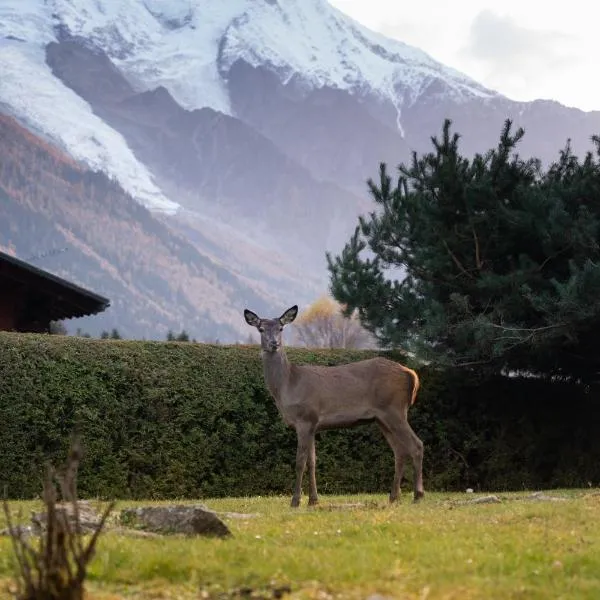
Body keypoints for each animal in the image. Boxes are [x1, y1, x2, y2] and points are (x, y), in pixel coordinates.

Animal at [241, 304, 424, 506]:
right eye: (261, 329)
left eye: (281, 328)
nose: (274, 343)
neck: (288, 385)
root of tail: (411, 373)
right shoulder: (313, 424)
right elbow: (312, 462)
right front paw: (313, 500)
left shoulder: (305, 418)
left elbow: (300, 462)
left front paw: (295, 501)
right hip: (382, 418)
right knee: (400, 451)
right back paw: (393, 497)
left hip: (394, 410)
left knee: (417, 445)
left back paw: (418, 495)